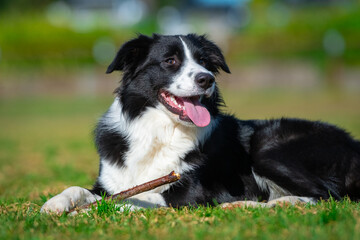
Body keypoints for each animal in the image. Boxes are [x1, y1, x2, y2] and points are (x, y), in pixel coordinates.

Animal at [40, 33, 360, 214]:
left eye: (205, 61)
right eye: (170, 61)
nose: (207, 79)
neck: (159, 131)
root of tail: (353, 144)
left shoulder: (191, 194)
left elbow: (134, 199)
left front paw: (89, 211)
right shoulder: (110, 182)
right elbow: (81, 189)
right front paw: (55, 203)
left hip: (268, 147)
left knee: (325, 195)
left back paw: (258, 204)